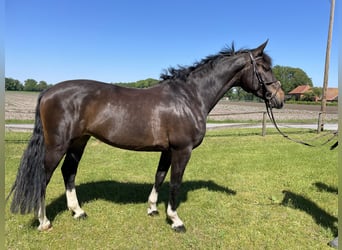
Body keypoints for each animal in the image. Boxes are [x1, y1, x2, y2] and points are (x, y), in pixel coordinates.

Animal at [9, 40, 284, 230]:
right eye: (265, 68)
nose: (280, 98)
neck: (189, 96)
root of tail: (47, 92)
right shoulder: (182, 150)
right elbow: (175, 182)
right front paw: (175, 220)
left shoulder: (167, 150)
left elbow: (159, 177)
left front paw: (152, 209)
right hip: (57, 145)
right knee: (44, 177)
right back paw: (44, 221)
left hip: (79, 141)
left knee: (69, 172)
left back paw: (78, 212)